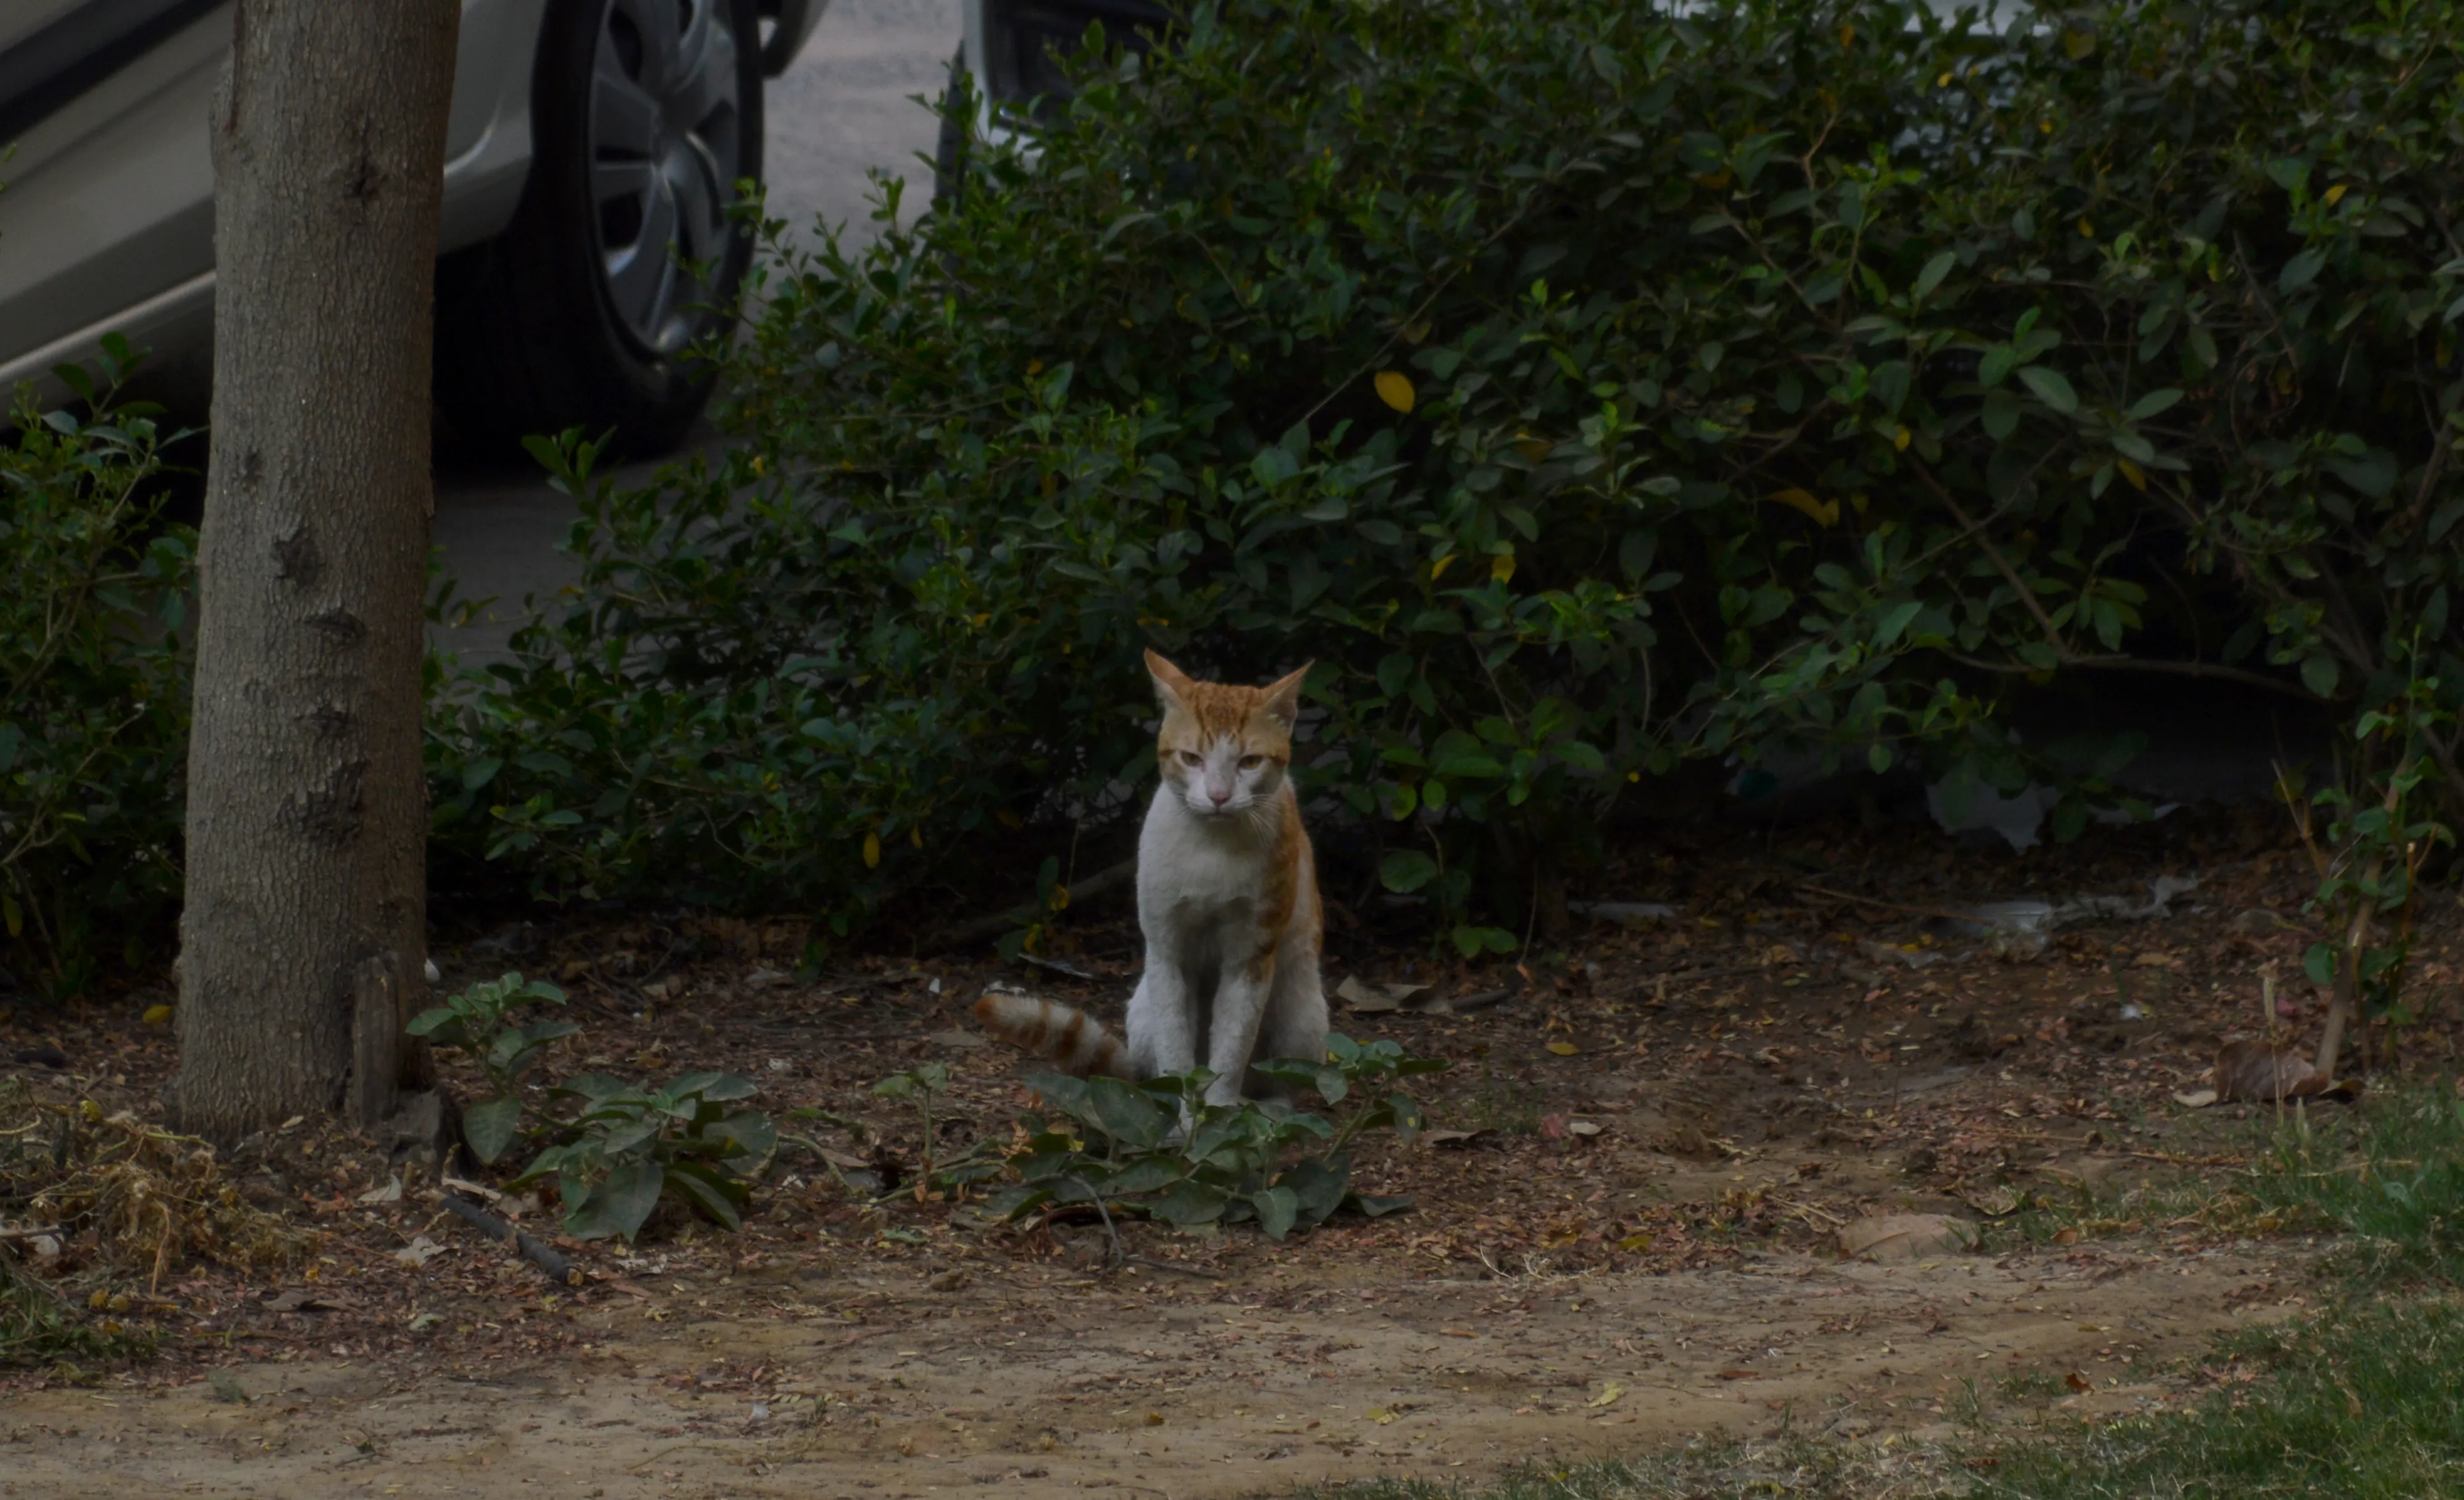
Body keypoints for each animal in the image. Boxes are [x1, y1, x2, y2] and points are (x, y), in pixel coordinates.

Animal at [975, 645, 1330, 1098]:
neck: (1211, 849)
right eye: (1192, 759)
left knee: (1282, 1079)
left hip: (1299, 1013)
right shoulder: (1166, 952)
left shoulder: (1250, 960)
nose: (1219, 797)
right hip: (1144, 1003)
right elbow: (1176, 1050)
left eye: (1250, 762)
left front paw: (1216, 1113)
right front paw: (1186, 1114)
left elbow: (1230, 1053)